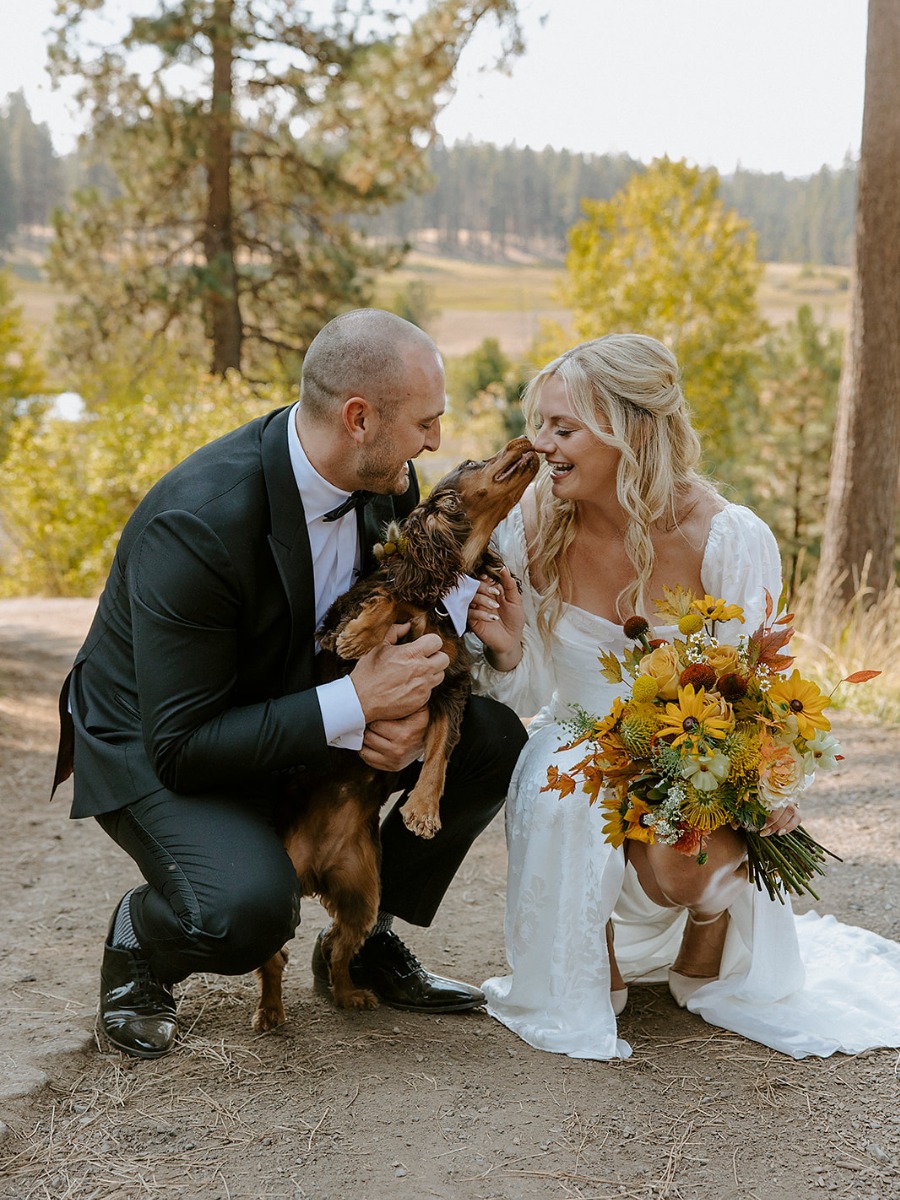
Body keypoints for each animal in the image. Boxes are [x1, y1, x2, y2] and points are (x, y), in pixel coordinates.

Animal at [250, 436, 540, 1027]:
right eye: (472, 462)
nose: (525, 439)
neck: (445, 590)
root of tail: (314, 870)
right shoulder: (345, 630)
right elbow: (387, 599)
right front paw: (363, 634)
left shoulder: (450, 683)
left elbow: (440, 750)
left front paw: (424, 810)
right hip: (287, 893)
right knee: (276, 954)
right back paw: (270, 1011)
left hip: (363, 888)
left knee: (341, 945)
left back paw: (350, 996)